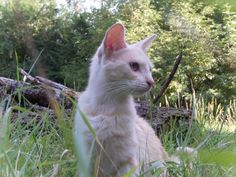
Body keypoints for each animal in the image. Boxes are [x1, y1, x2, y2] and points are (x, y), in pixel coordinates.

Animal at [74, 23, 170, 177]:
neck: (107, 105)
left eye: (149, 70)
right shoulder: (87, 158)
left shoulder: (128, 160)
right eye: (134, 66)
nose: (151, 82)